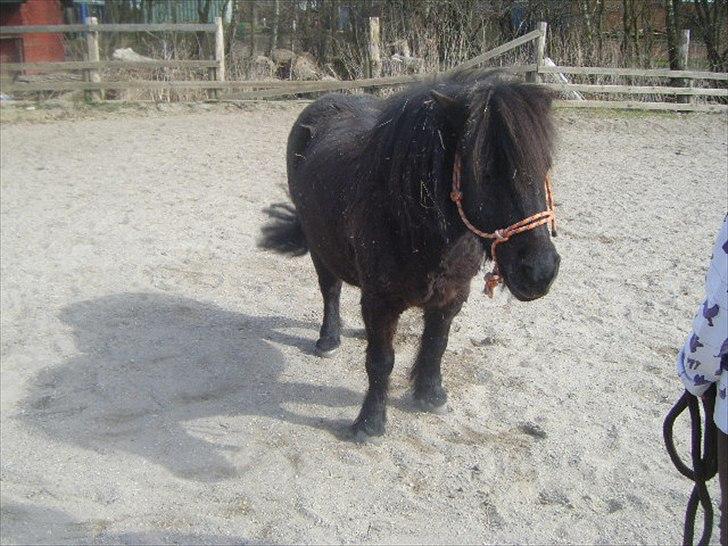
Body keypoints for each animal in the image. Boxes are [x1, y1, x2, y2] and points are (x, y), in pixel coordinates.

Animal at [259, 70, 560, 441]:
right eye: (485, 171)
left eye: (545, 165)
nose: (540, 271)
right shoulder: (381, 302)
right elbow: (380, 360)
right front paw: (369, 423)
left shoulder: (451, 296)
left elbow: (435, 345)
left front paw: (432, 396)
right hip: (320, 247)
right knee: (330, 289)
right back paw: (328, 340)